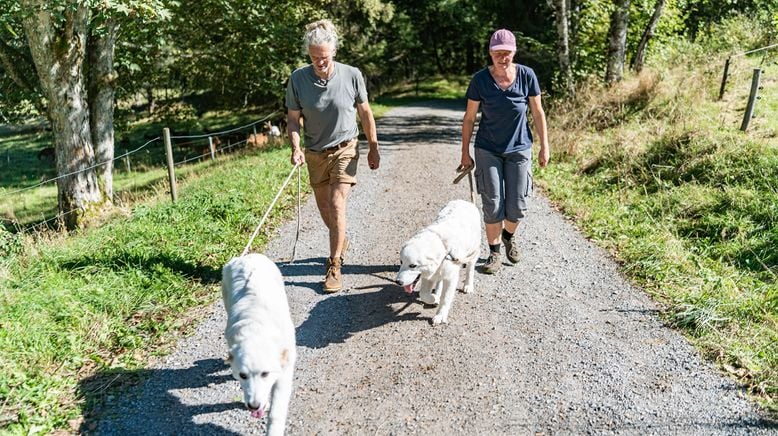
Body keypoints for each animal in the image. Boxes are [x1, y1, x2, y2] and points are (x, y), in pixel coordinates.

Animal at [223, 254, 298, 434]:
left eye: (265, 374)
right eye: (243, 375)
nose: (253, 406)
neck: (257, 332)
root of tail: (247, 256)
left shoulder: (285, 372)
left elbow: (276, 412)